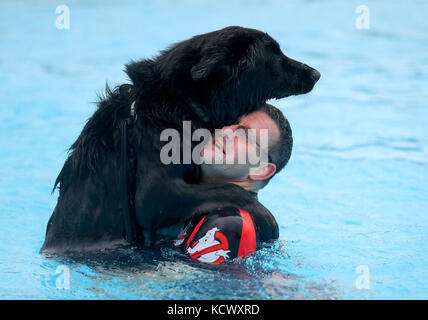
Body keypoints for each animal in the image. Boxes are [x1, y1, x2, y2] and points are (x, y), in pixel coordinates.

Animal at [41, 26, 320, 254]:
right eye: (275, 56)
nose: (316, 74)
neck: (179, 102)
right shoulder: (153, 195)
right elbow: (229, 189)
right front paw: (265, 215)